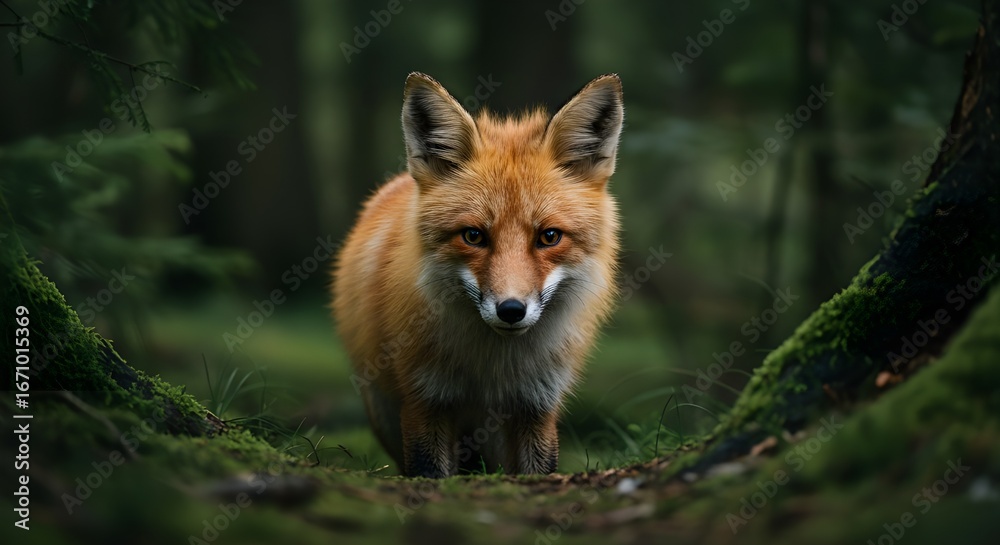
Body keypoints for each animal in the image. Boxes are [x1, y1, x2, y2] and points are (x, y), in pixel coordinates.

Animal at [332, 72, 623, 478]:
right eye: (473, 236)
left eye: (549, 237)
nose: (511, 310)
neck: (491, 371)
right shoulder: (425, 399)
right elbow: (430, 472)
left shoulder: (538, 403)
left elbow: (539, 469)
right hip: (385, 412)